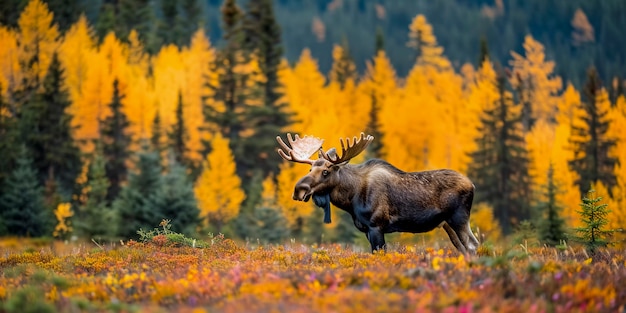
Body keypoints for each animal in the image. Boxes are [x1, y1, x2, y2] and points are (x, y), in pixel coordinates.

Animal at [274, 132, 478, 254]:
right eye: (310, 170)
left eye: (325, 171)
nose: (298, 189)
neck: (350, 199)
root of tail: (472, 185)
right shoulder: (366, 229)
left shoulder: (376, 225)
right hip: (447, 224)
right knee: (464, 248)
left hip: (459, 218)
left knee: (472, 245)